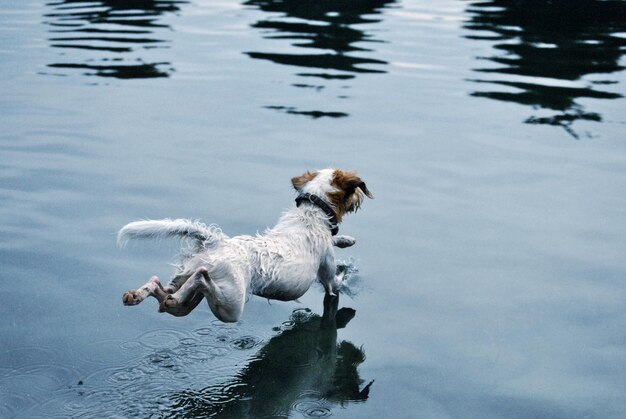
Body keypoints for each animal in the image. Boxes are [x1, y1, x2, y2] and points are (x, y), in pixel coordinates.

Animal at [117, 169, 370, 324]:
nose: (360, 197)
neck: (312, 212)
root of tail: (215, 240)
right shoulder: (328, 278)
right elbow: (337, 280)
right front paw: (345, 265)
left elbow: (335, 238)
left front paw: (345, 239)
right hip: (230, 306)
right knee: (199, 279)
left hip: (186, 294)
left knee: (162, 290)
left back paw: (137, 294)